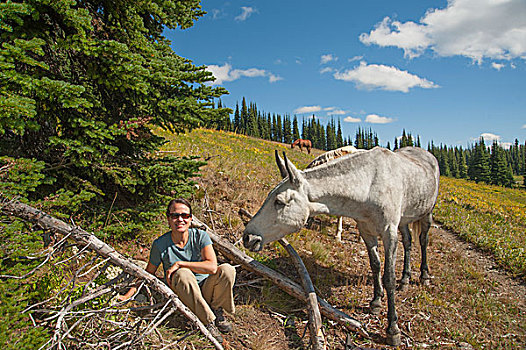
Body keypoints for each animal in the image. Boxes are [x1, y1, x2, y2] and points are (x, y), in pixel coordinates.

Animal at [245, 146, 444, 346]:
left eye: (279, 202)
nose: (248, 237)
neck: (369, 184)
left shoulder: (389, 233)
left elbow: (389, 277)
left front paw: (393, 329)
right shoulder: (366, 231)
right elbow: (375, 266)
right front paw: (376, 302)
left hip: (427, 213)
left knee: (423, 241)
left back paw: (424, 276)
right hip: (404, 220)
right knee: (409, 241)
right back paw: (405, 279)